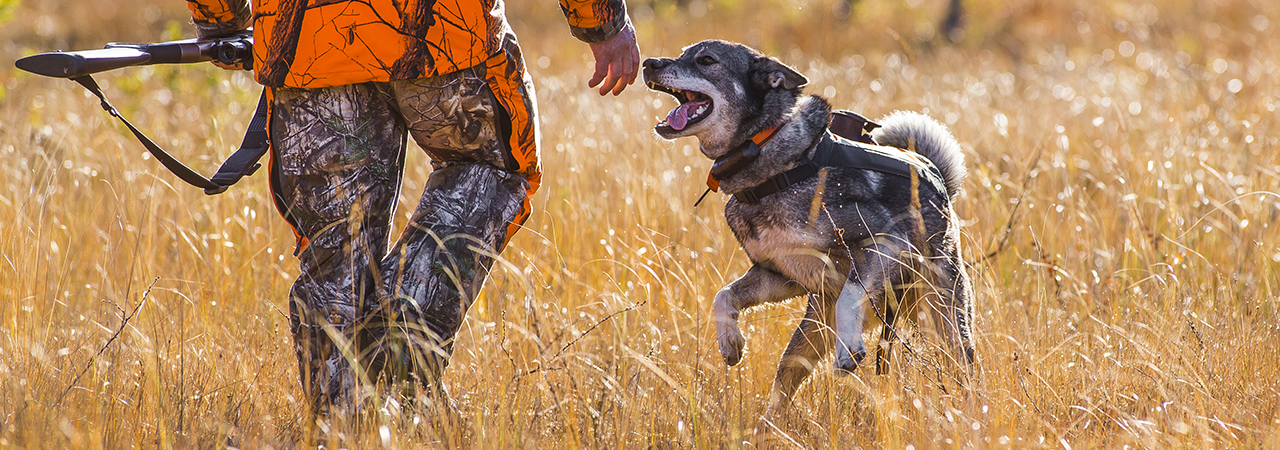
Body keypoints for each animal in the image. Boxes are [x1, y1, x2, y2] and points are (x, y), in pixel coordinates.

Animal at [645, 40, 972, 424]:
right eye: (683, 53)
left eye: (706, 60)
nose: (648, 64)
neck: (771, 167)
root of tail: (937, 178)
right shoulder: (780, 275)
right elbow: (723, 295)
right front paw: (730, 342)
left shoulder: (886, 241)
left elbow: (850, 293)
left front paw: (848, 350)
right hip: (804, 342)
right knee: (782, 389)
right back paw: (767, 428)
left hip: (945, 322)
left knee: (965, 371)